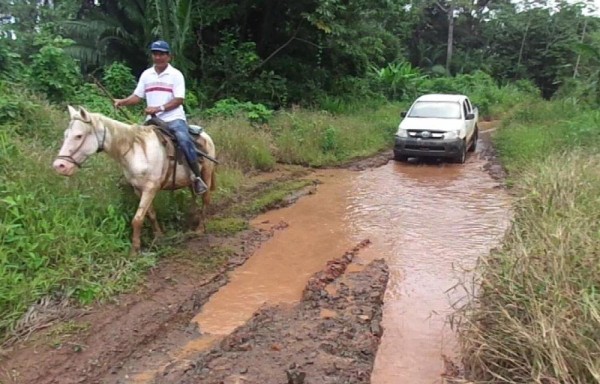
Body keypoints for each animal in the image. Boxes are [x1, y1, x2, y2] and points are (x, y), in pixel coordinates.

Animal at [51, 106, 216, 254]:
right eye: (66, 134)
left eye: (79, 136)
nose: (60, 166)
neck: (137, 152)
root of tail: (206, 135)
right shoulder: (138, 189)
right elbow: (150, 214)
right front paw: (159, 236)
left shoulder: (150, 188)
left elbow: (137, 219)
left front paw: (135, 250)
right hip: (189, 181)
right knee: (195, 196)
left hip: (207, 173)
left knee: (206, 199)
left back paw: (200, 228)